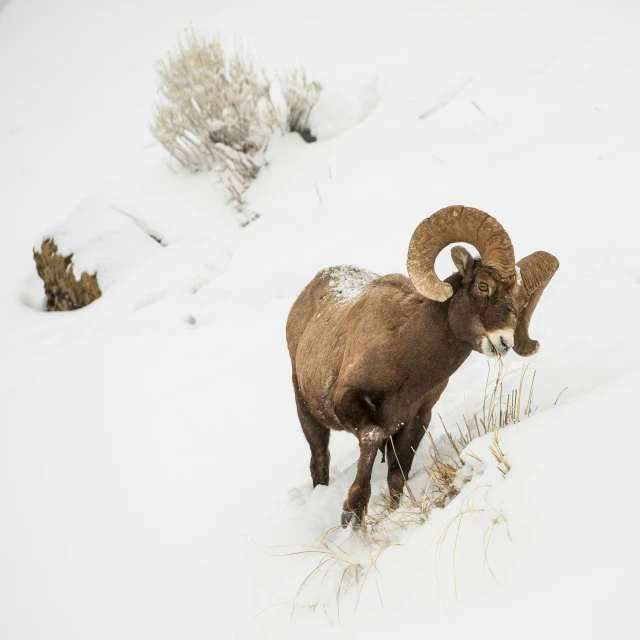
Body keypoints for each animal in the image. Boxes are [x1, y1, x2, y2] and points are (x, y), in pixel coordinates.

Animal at [288, 205, 556, 524]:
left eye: (520, 301)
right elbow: (373, 436)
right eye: (483, 286)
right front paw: (351, 513)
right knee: (320, 461)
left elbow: (396, 476)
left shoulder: (416, 419)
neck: (407, 366)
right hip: (307, 414)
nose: (503, 341)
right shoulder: (349, 401)